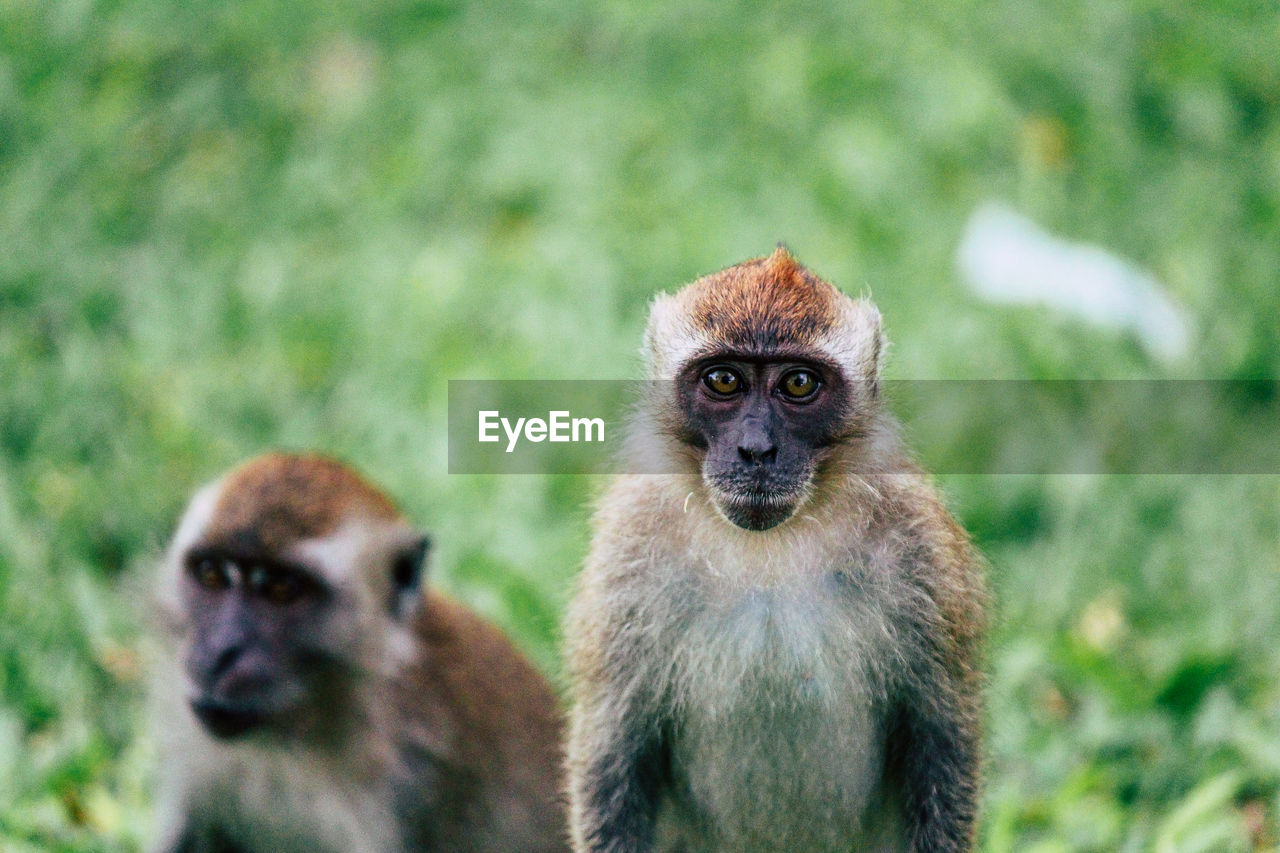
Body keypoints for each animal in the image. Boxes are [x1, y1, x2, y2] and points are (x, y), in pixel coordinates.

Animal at [565, 247, 983, 850]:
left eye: (799, 383)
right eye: (722, 380)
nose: (757, 449)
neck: (767, 550)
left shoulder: (922, 553)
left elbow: (940, 738)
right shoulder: (628, 552)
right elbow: (614, 752)